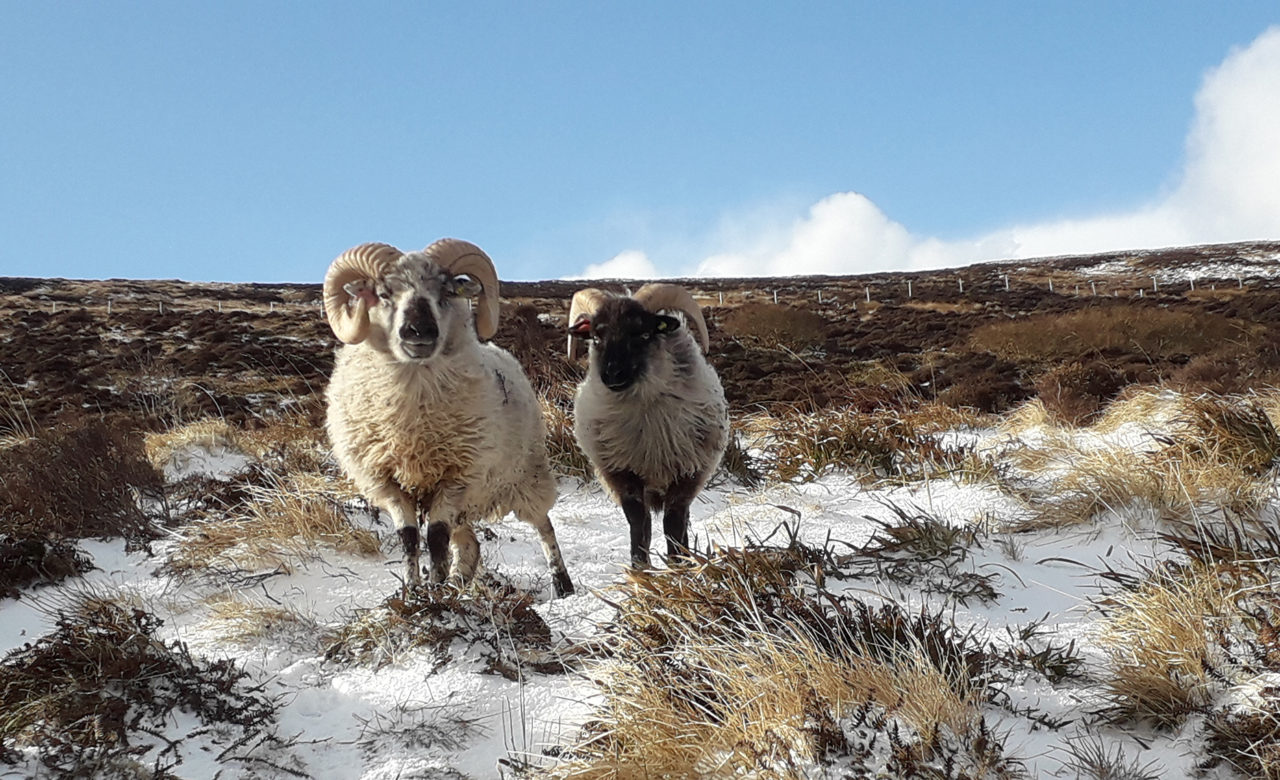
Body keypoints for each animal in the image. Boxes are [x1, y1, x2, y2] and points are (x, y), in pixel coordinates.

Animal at [322, 238, 578, 596]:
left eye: (445, 293)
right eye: (384, 294)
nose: (419, 331)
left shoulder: (457, 476)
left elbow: (436, 537)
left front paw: (435, 590)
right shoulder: (386, 481)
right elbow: (409, 537)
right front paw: (415, 590)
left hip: (526, 474)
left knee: (544, 524)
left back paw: (562, 583)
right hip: (471, 503)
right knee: (470, 545)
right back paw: (459, 581)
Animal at [570, 283, 732, 563]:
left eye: (643, 334)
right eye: (596, 338)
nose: (612, 374)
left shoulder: (687, 473)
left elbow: (674, 524)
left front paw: (678, 565)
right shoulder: (621, 472)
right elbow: (638, 523)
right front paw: (639, 567)